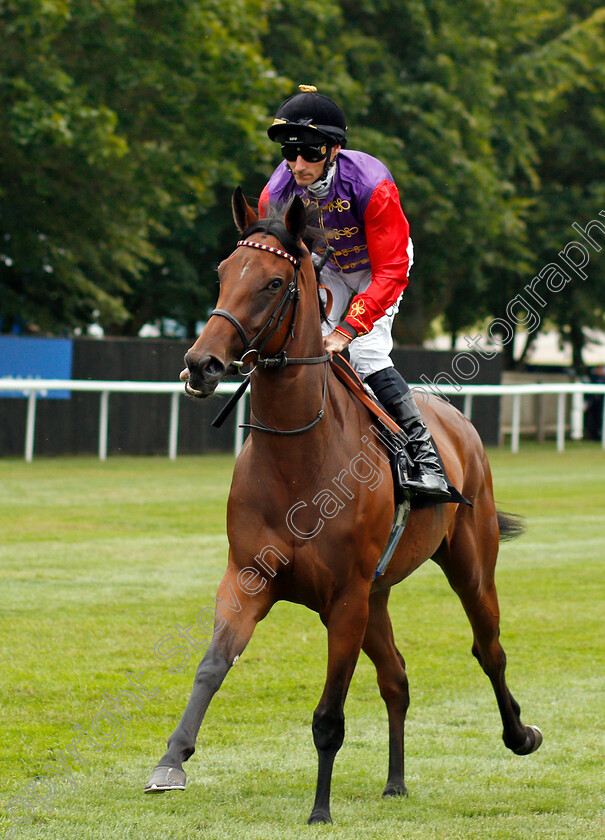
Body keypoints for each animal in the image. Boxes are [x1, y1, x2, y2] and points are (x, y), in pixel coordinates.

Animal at [146, 189, 544, 820]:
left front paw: (320, 810)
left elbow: (329, 716)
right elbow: (211, 665)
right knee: (397, 677)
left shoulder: (345, 601)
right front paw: (171, 761)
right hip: (378, 596)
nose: (201, 363)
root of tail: (458, 423)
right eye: (224, 272)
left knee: (489, 649)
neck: (297, 459)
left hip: (469, 567)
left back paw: (519, 734)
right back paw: (396, 781)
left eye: (273, 282)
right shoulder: (249, 577)